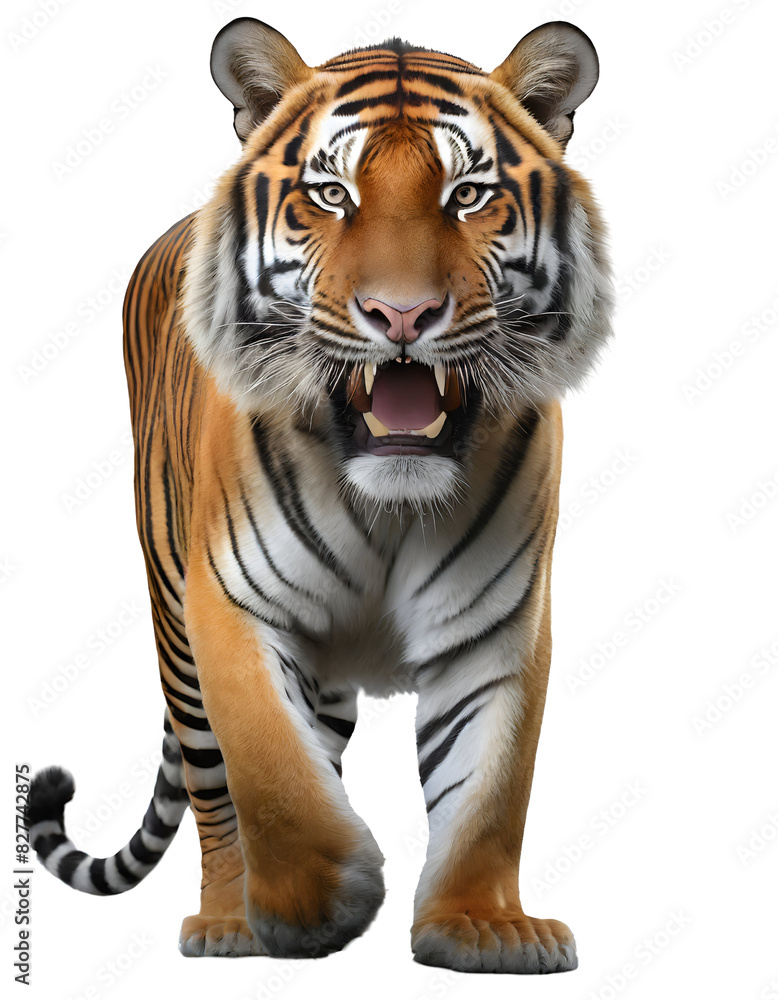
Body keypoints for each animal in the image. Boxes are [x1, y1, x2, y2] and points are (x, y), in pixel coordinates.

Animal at [27, 17, 613, 973]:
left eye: (468, 195)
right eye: (331, 195)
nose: (402, 315)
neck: (391, 500)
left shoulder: (499, 624)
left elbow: (490, 790)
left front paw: (481, 926)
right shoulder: (228, 604)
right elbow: (269, 768)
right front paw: (314, 903)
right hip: (175, 621)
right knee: (215, 789)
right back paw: (229, 919)